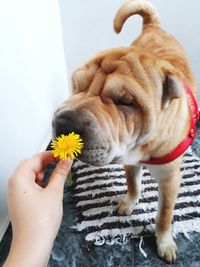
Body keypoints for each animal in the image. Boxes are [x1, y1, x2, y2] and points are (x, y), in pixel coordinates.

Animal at [52, 0, 198, 264]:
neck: (144, 146)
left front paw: (164, 243)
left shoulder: (170, 180)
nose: (64, 122)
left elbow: (164, 215)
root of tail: (153, 27)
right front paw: (129, 203)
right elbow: (132, 183)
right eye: (77, 85)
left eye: (125, 102)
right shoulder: (129, 160)